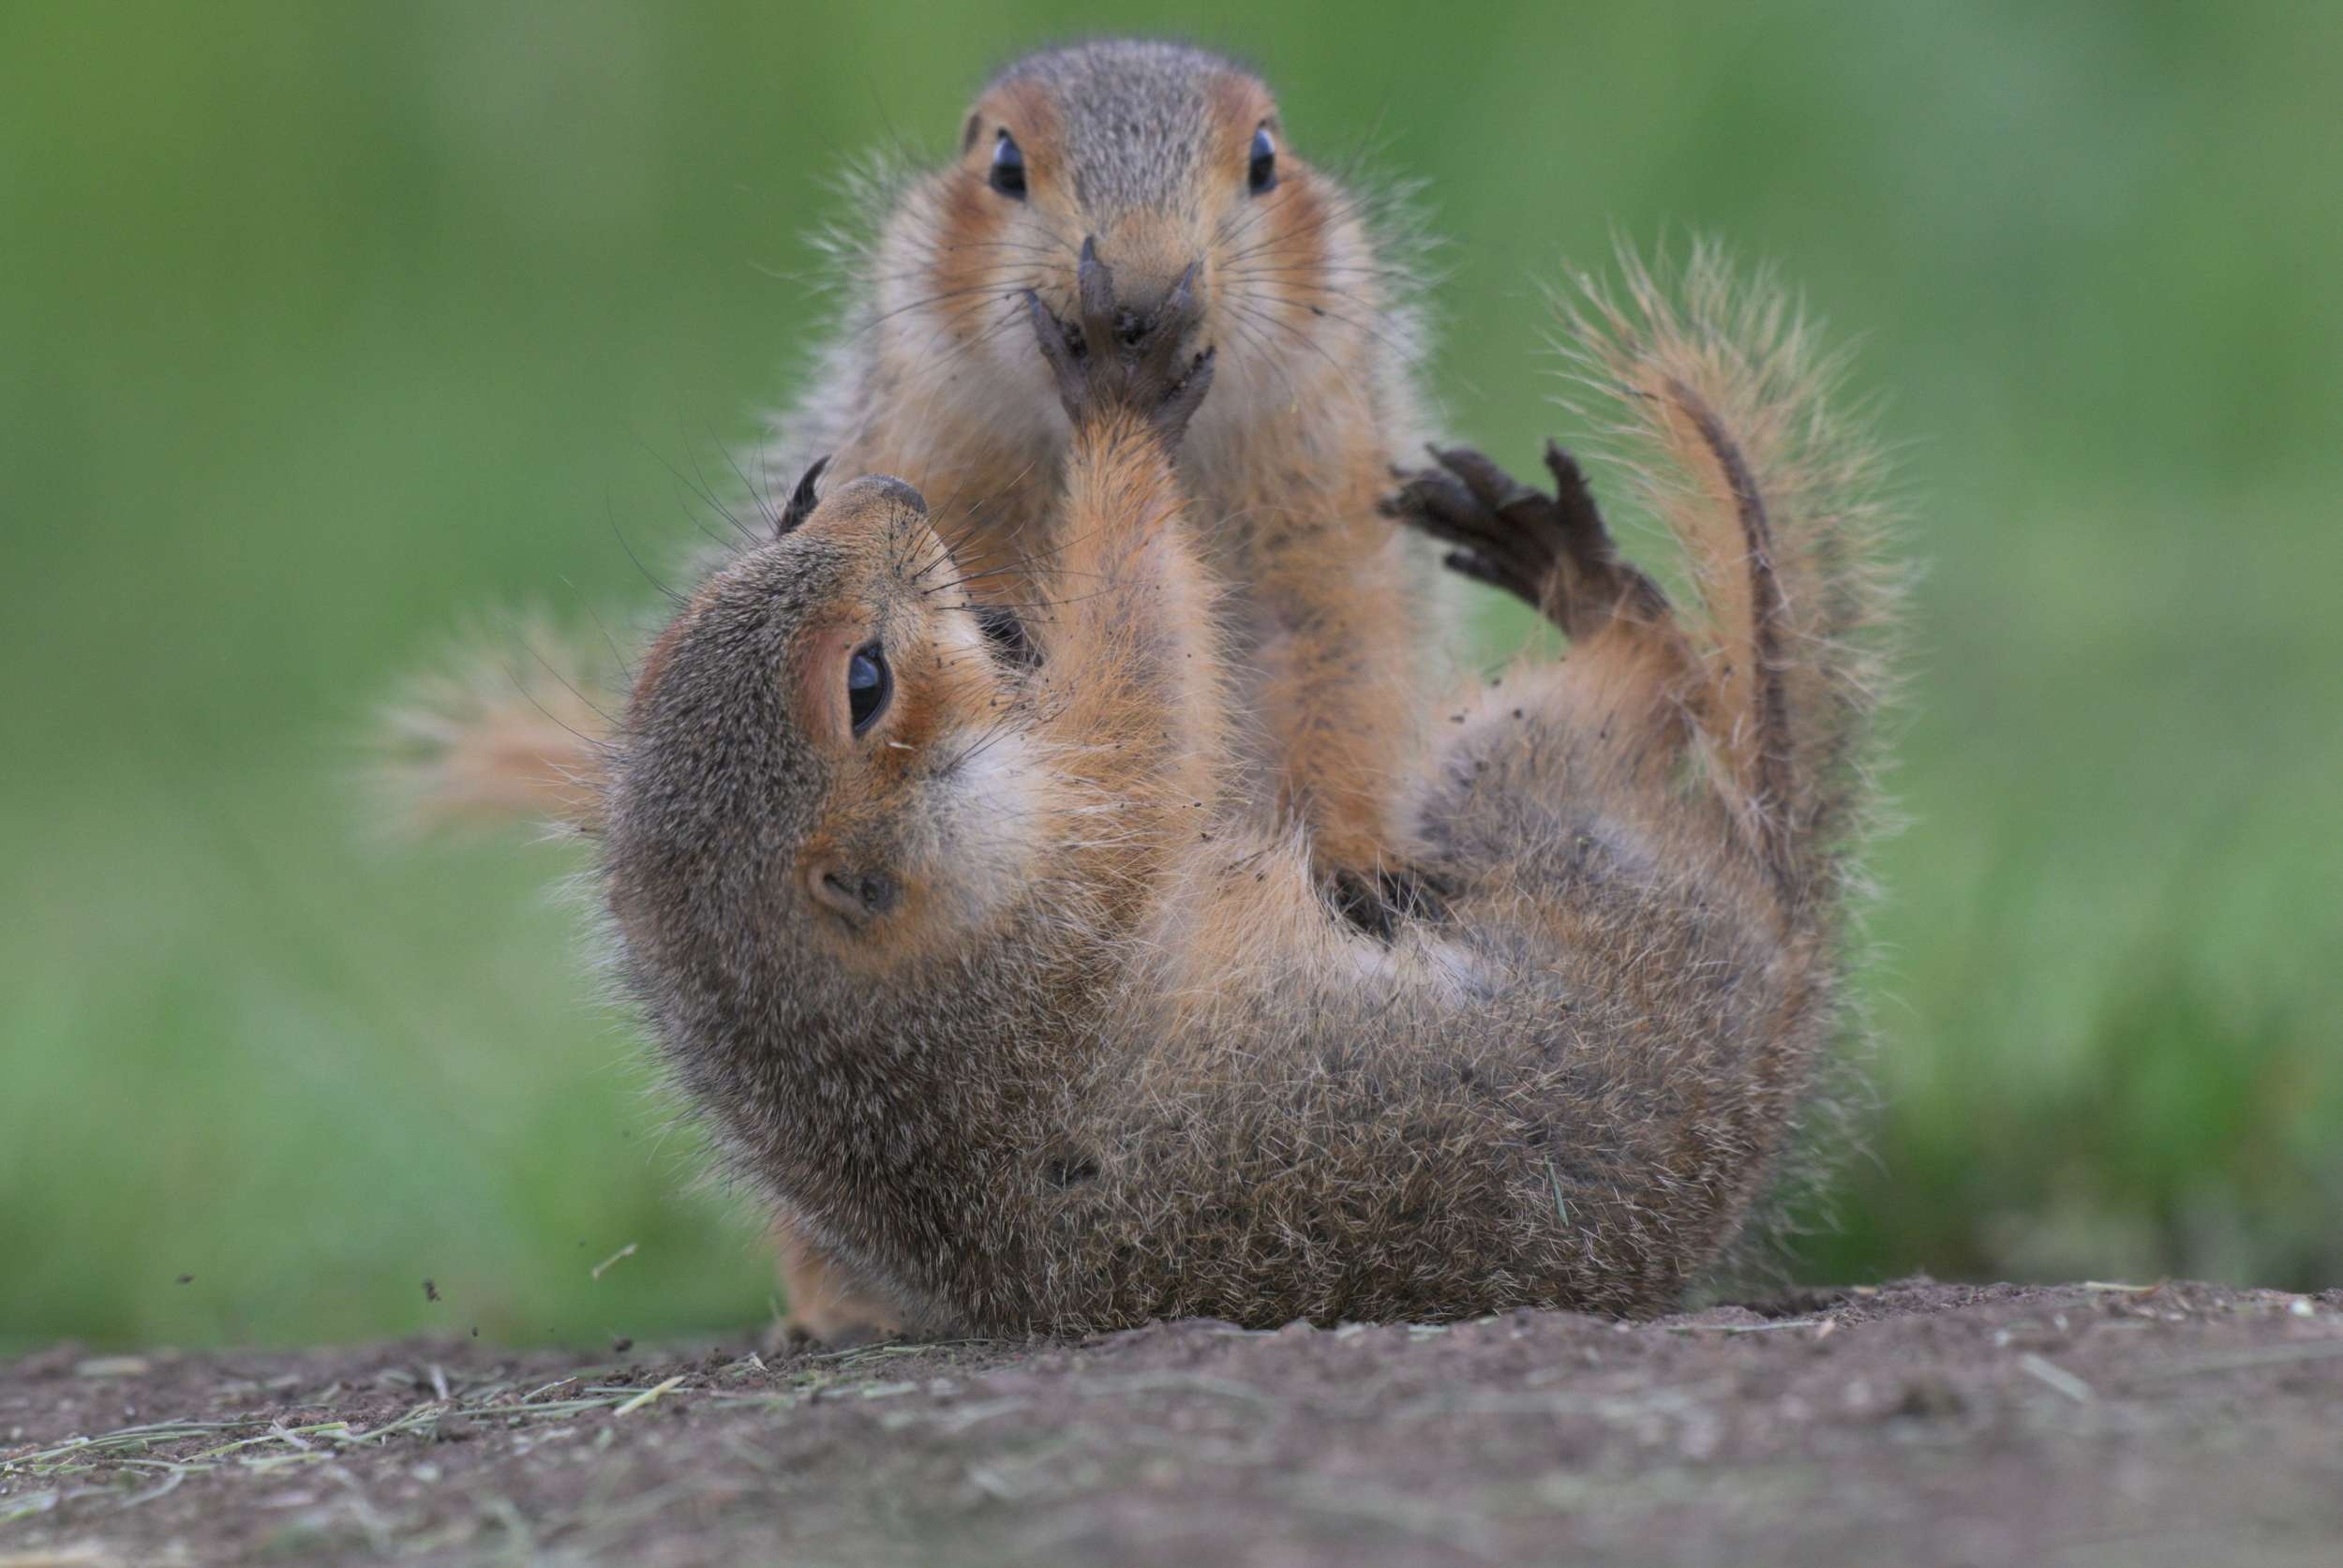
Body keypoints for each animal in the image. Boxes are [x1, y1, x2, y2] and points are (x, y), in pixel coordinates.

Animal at [600, 245, 1903, 1331]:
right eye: (862, 681)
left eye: (782, 525)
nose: (887, 491)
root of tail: (1789, 956)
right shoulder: (1072, 857)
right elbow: (1151, 674)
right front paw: (1118, 398)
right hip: (1521, 782)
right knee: (1653, 663)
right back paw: (1583, 575)